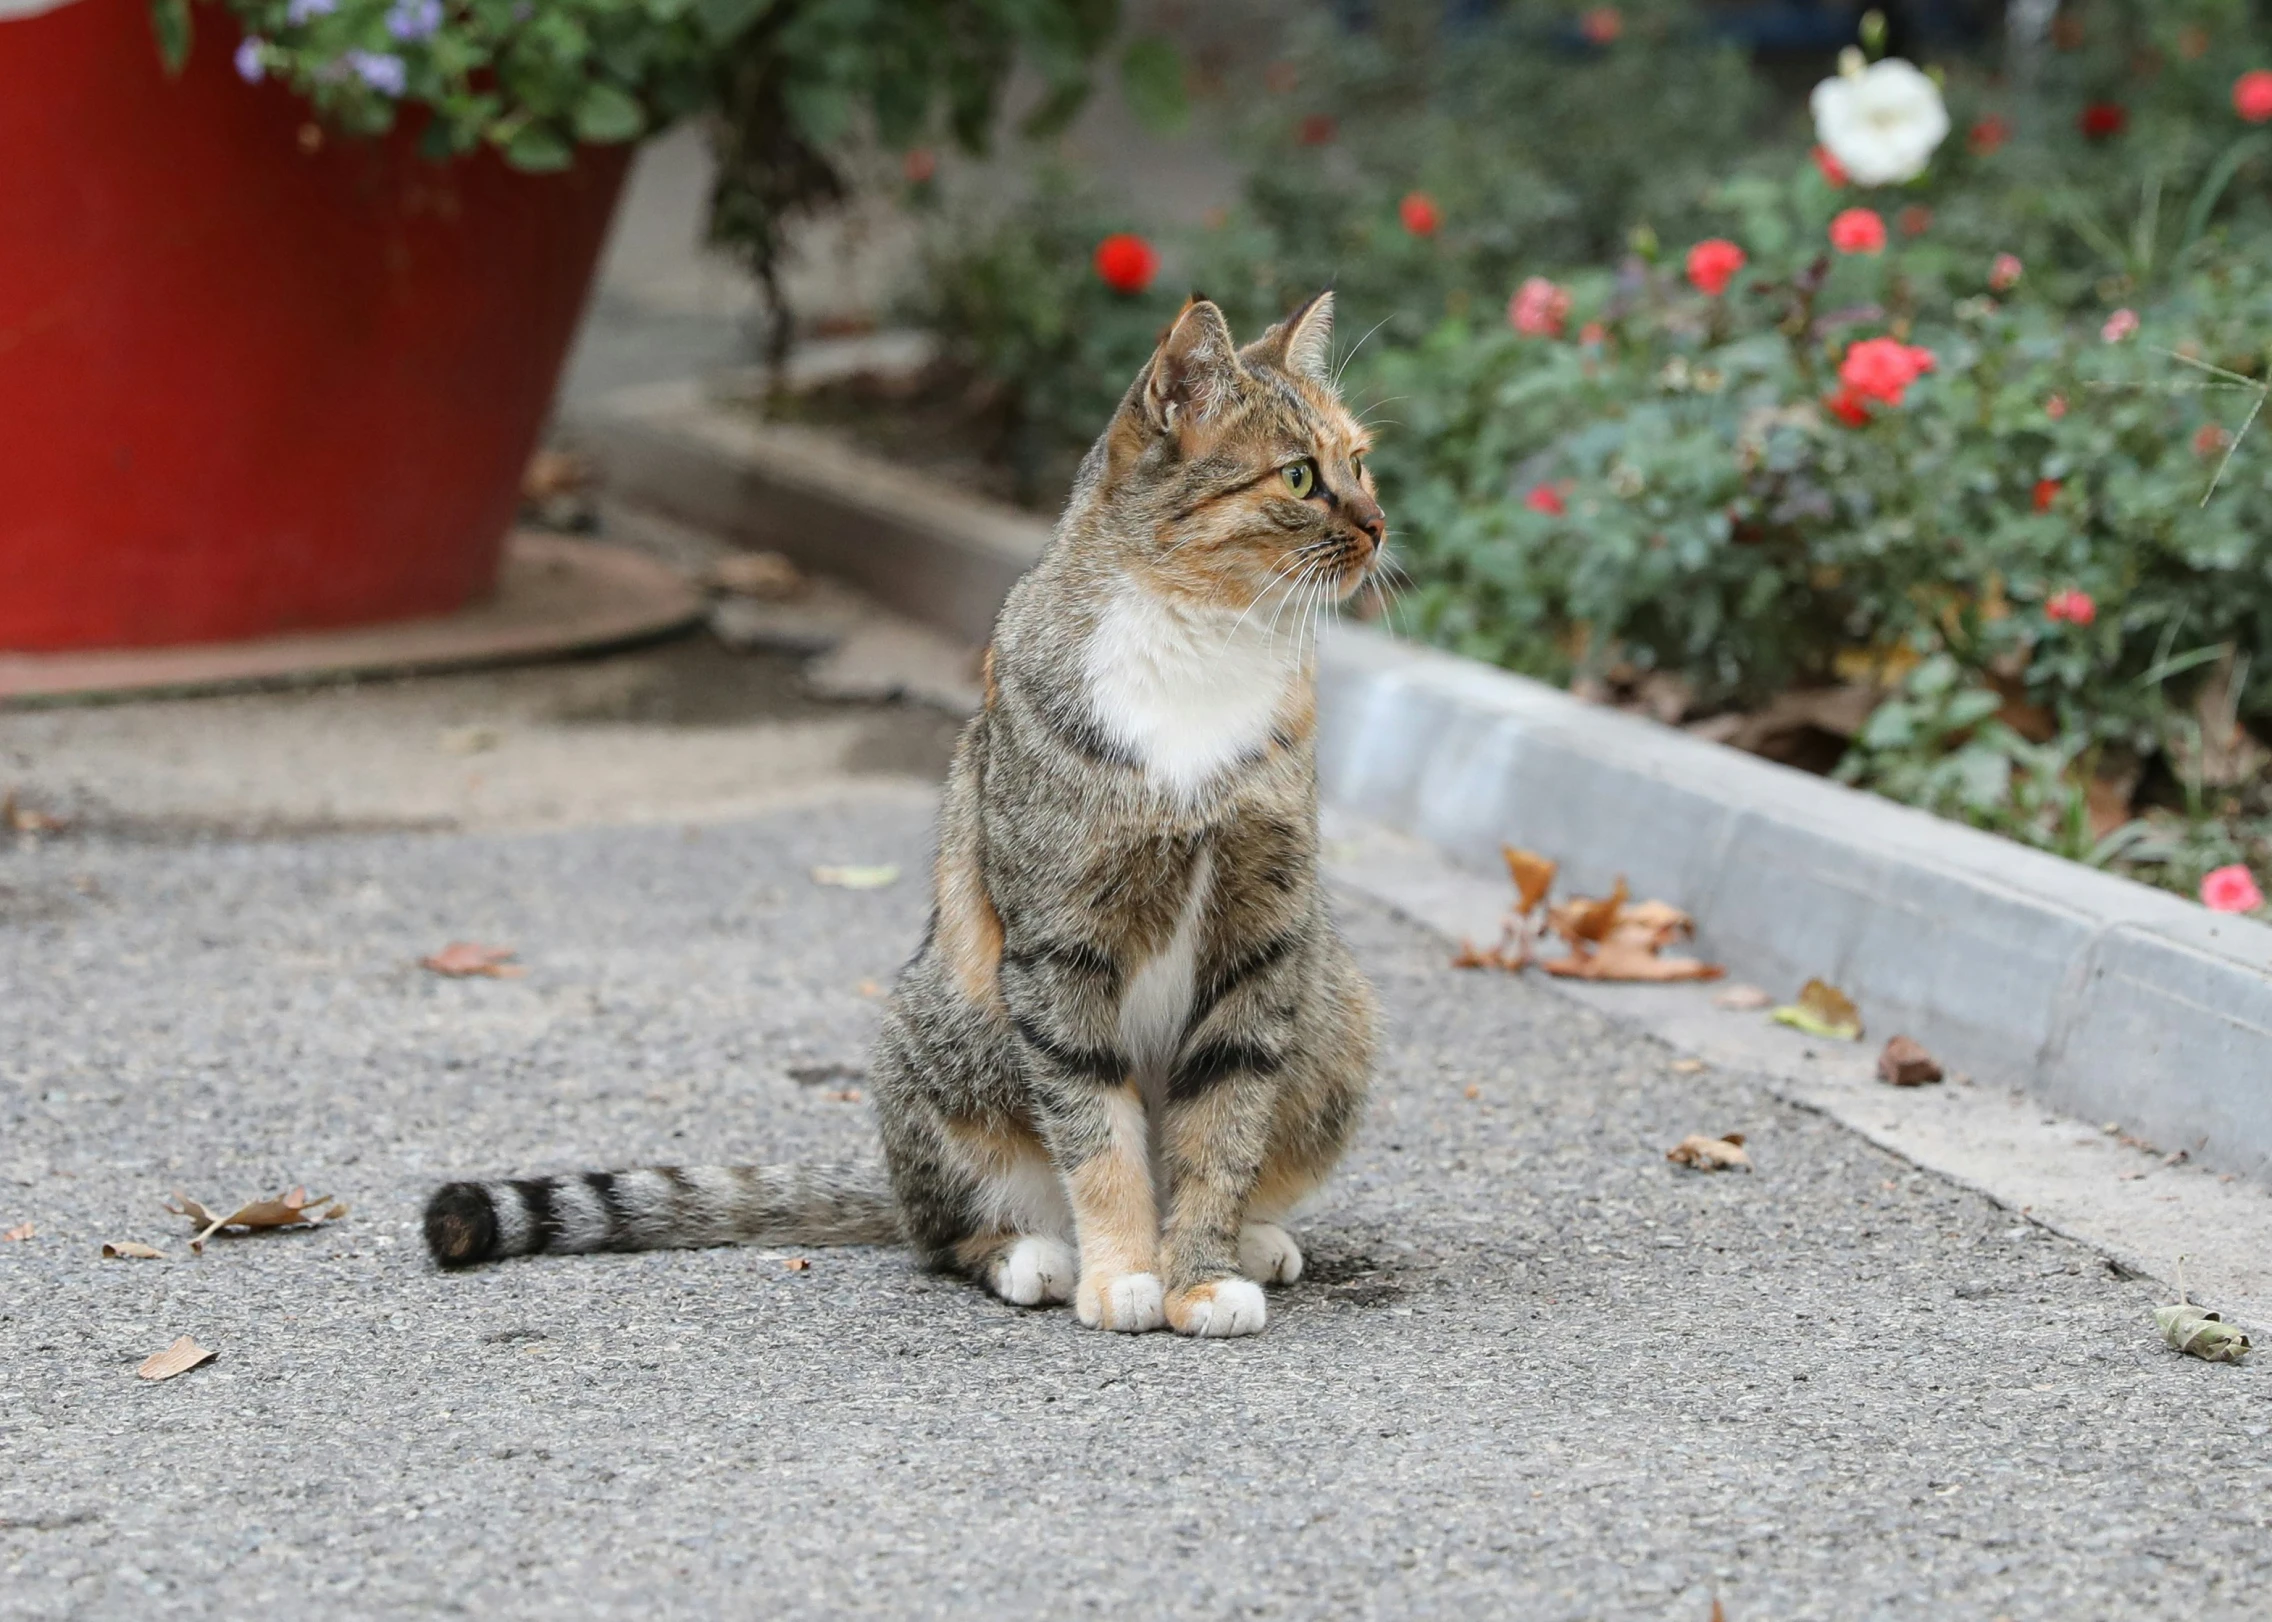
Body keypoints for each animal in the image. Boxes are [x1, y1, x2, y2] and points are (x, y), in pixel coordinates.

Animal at [427, 293, 1381, 1335]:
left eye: (1362, 461)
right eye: (1300, 476)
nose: (1379, 524)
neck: (1208, 646)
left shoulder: (1260, 942)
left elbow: (1222, 1128)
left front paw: (1198, 1274)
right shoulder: (1059, 944)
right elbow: (1096, 1130)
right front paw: (1125, 1273)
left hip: (1335, 1005)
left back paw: (1252, 1241)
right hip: (945, 1030)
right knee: (943, 1231)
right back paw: (1033, 1255)